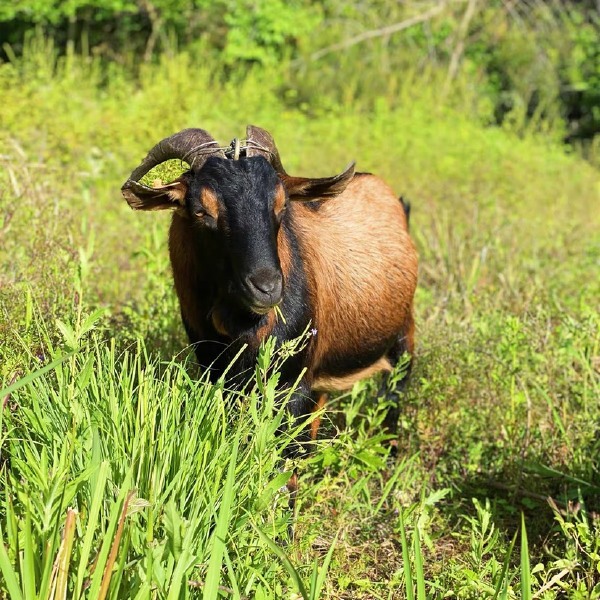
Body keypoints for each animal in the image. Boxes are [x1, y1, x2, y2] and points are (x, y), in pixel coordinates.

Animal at [122, 124, 418, 490]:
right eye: (201, 210)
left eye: (281, 205)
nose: (267, 287)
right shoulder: (216, 374)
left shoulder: (291, 385)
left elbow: (285, 466)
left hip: (402, 340)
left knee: (392, 402)